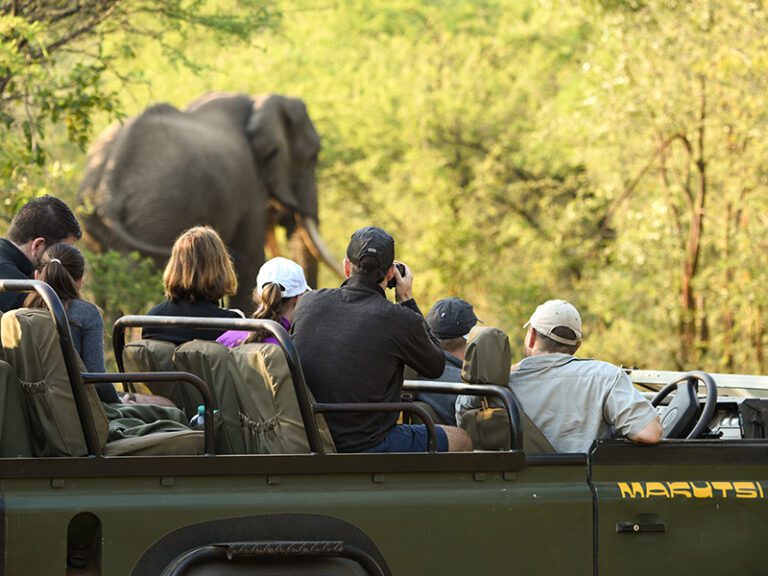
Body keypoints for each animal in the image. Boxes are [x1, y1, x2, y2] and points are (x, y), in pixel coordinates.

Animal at [78, 92, 342, 313]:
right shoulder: (249, 185)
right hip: (152, 218)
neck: (259, 101)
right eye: (313, 156)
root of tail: (106, 189)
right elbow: (250, 261)